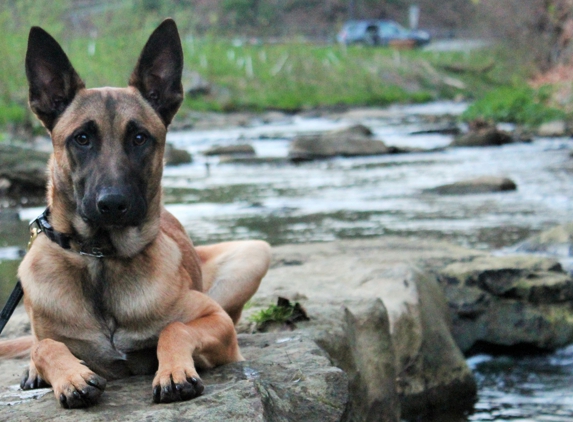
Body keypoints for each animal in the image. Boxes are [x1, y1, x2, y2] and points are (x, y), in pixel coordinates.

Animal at [0, 19, 272, 408]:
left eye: (140, 138)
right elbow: (45, 346)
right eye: (82, 138)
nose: (113, 204)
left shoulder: (215, 321)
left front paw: (173, 372)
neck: (99, 258)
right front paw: (70, 377)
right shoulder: (48, 333)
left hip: (254, 254)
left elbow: (175, 327)